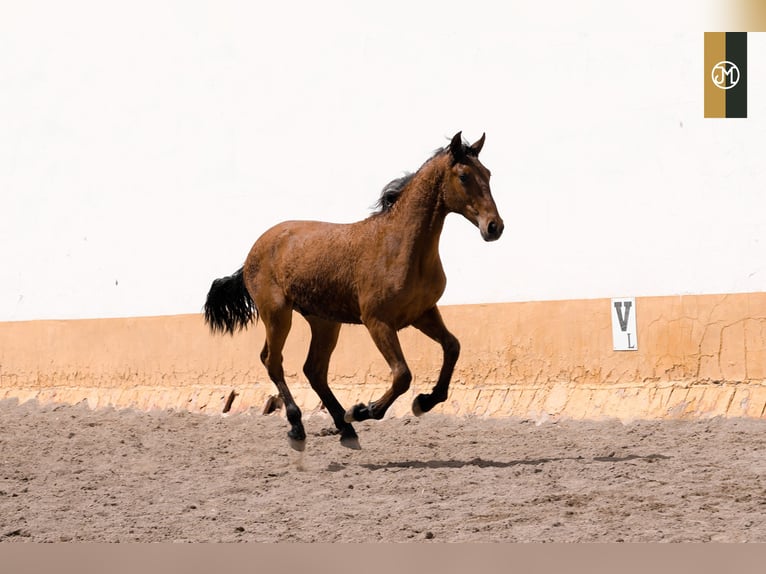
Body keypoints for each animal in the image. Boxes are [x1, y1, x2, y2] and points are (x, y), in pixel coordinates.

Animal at [204, 133, 504, 452]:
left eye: (488, 174)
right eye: (464, 176)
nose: (494, 227)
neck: (400, 246)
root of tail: (253, 251)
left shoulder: (422, 313)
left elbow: (452, 347)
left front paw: (424, 402)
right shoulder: (377, 321)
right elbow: (402, 375)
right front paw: (364, 410)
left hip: (324, 321)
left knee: (314, 369)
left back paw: (345, 427)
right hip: (277, 314)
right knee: (273, 361)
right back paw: (299, 426)